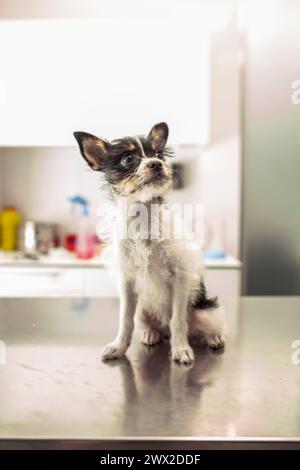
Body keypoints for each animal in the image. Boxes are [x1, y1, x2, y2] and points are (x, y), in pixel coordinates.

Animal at [74, 121, 226, 364]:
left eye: (158, 154)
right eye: (128, 158)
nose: (156, 164)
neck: (142, 220)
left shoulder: (181, 278)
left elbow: (178, 320)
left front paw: (181, 349)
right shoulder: (126, 284)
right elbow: (125, 319)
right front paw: (118, 346)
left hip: (205, 313)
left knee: (208, 326)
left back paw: (214, 338)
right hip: (143, 312)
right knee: (149, 325)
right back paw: (150, 334)